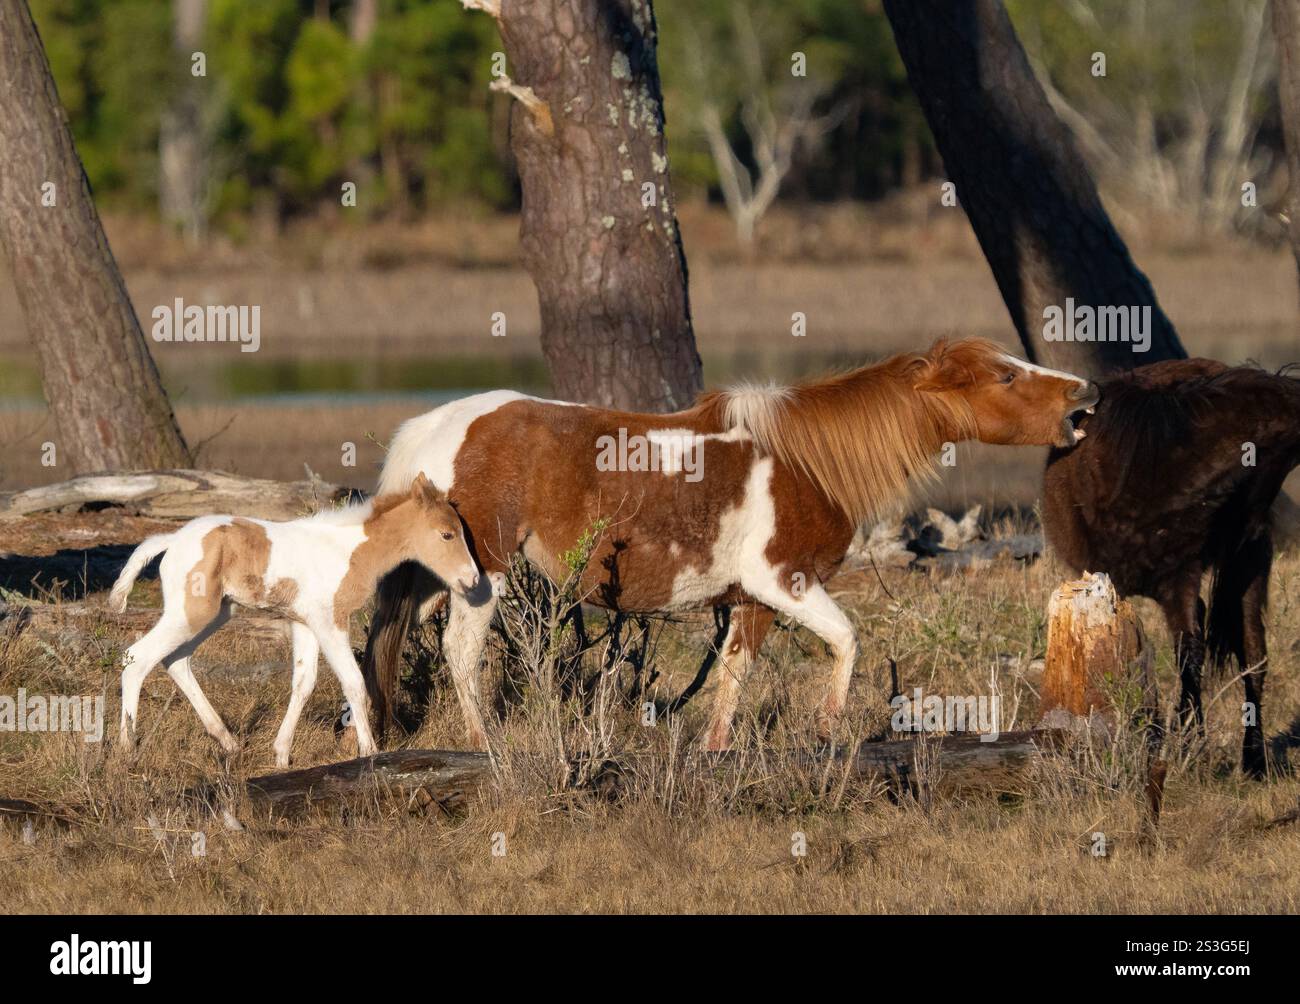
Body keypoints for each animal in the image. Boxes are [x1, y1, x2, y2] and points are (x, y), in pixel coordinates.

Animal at [111, 474, 478, 765]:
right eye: (447, 535)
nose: (472, 579)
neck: (347, 550)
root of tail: (171, 539)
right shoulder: (330, 621)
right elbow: (354, 683)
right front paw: (370, 752)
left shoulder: (305, 623)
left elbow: (303, 683)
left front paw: (281, 755)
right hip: (191, 612)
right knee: (137, 657)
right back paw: (127, 750)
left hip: (216, 612)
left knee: (176, 660)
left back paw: (228, 742)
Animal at [362, 337, 1098, 750]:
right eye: (1005, 377)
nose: (1082, 393)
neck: (805, 462)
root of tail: (429, 430)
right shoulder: (785, 581)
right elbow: (848, 640)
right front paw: (828, 729)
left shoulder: (753, 599)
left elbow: (734, 674)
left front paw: (718, 750)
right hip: (480, 574)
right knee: (460, 651)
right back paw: (481, 743)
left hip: (431, 577)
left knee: (379, 642)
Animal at [1043, 359, 1300, 777]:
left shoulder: (1186, 576)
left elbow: (1194, 654)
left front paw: (1191, 744)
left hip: (1246, 565)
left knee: (1251, 653)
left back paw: (1252, 759)